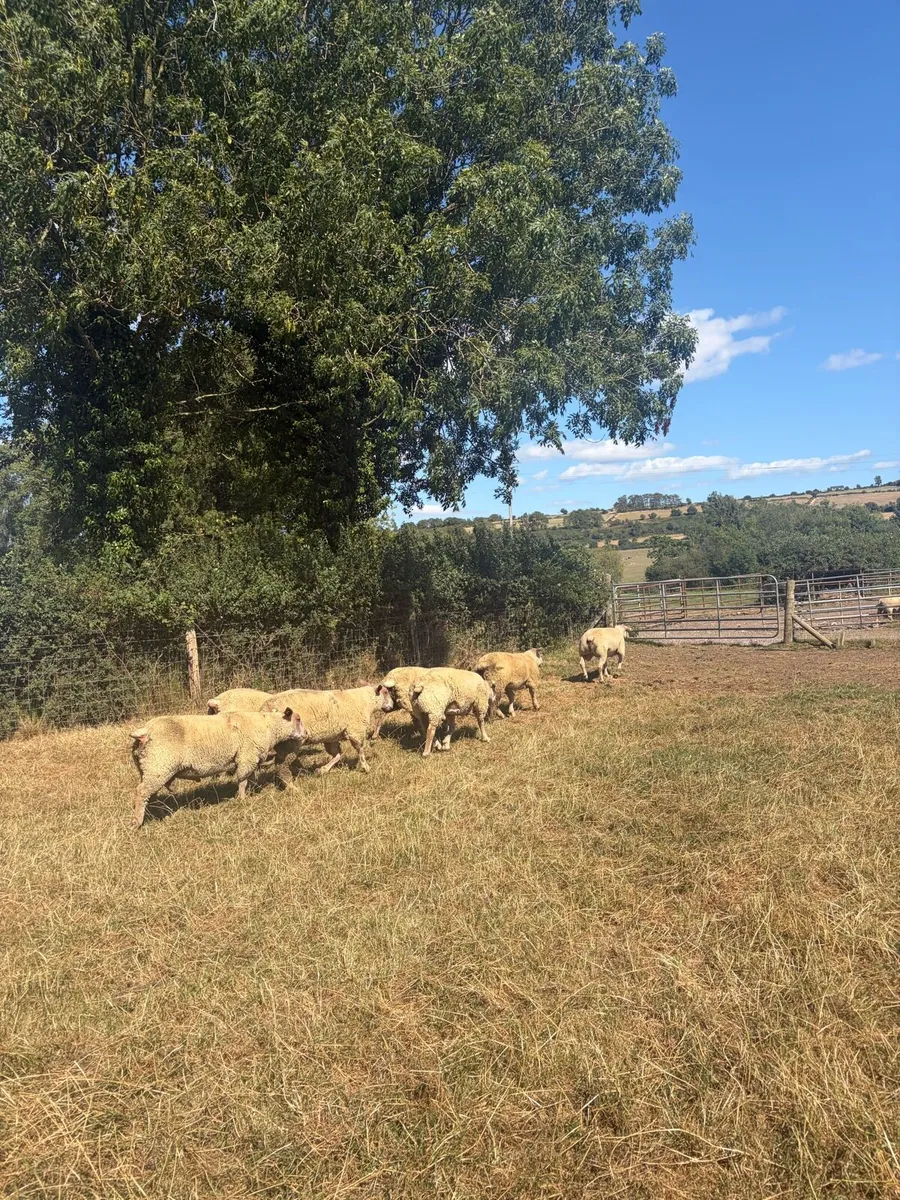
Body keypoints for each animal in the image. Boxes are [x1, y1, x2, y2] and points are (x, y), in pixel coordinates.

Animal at [130, 707, 307, 829]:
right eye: (298, 719)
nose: (306, 734)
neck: (269, 727)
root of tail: (145, 731)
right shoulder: (246, 757)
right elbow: (242, 780)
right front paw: (243, 799)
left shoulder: (249, 759)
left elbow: (250, 779)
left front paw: (251, 792)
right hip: (159, 766)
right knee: (141, 792)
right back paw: (137, 823)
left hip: (149, 769)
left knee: (151, 795)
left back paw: (161, 815)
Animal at [261, 684, 393, 776]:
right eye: (385, 692)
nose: (392, 706)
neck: (366, 702)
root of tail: (265, 708)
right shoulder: (355, 731)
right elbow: (360, 751)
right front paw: (366, 768)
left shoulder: (331, 737)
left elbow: (337, 755)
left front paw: (322, 770)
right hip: (290, 741)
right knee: (280, 762)